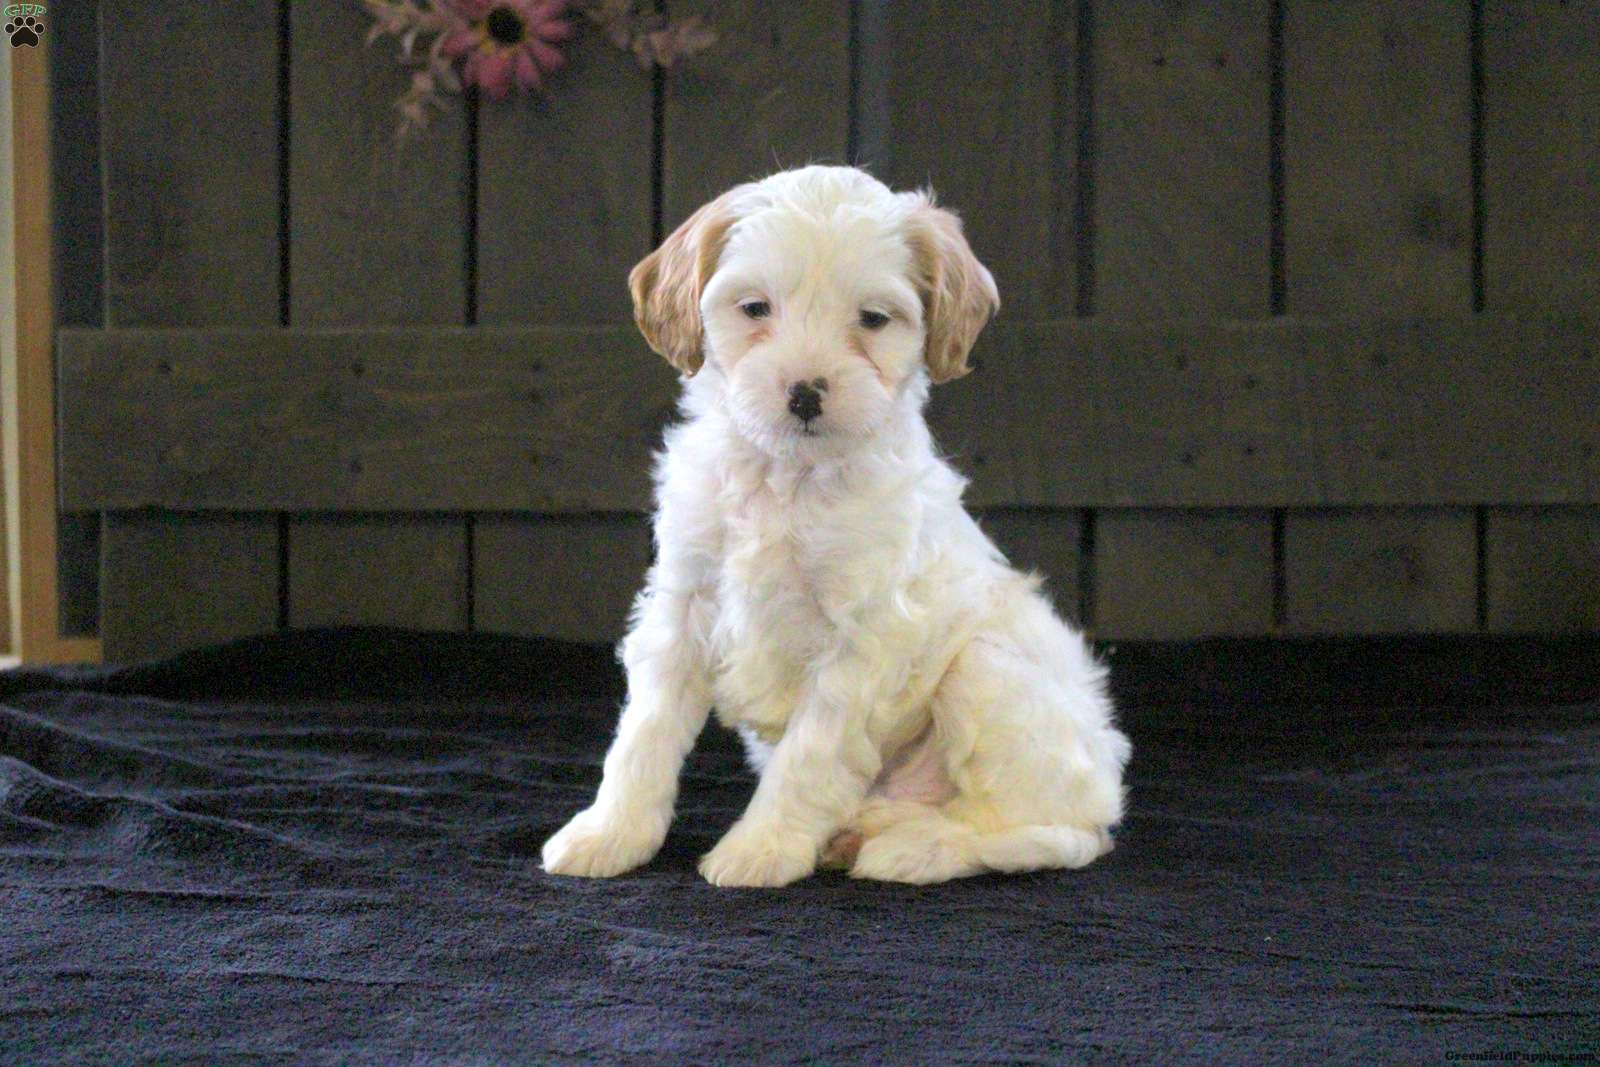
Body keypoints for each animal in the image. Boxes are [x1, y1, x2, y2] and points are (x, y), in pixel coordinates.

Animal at [542, 165, 1130, 886]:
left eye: (872, 319)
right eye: (755, 308)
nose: (804, 392)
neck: (786, 476)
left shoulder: (861, 639)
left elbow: (810, 755)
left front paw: (761, 849)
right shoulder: (682, 603)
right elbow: (643, 734)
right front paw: (609, 833)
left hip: (986, 674)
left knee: (1046, 833)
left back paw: (915, 847)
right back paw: (865, 826)